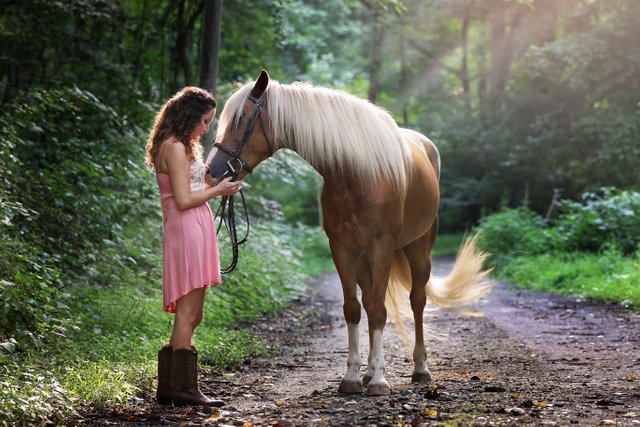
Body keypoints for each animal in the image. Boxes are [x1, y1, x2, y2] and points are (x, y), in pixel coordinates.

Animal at [208, 71, 492, 398]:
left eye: (241, 118)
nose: (212, 171)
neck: (357, 174)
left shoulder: (381, 247)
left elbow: (380, 311)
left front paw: (380, 380)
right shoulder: (343, 250)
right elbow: (354, 309)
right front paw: (354, 377)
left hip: (419, 249)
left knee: (417, 301)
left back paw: (420, 368)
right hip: (365, 260)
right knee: (369, 301)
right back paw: (368, 372)